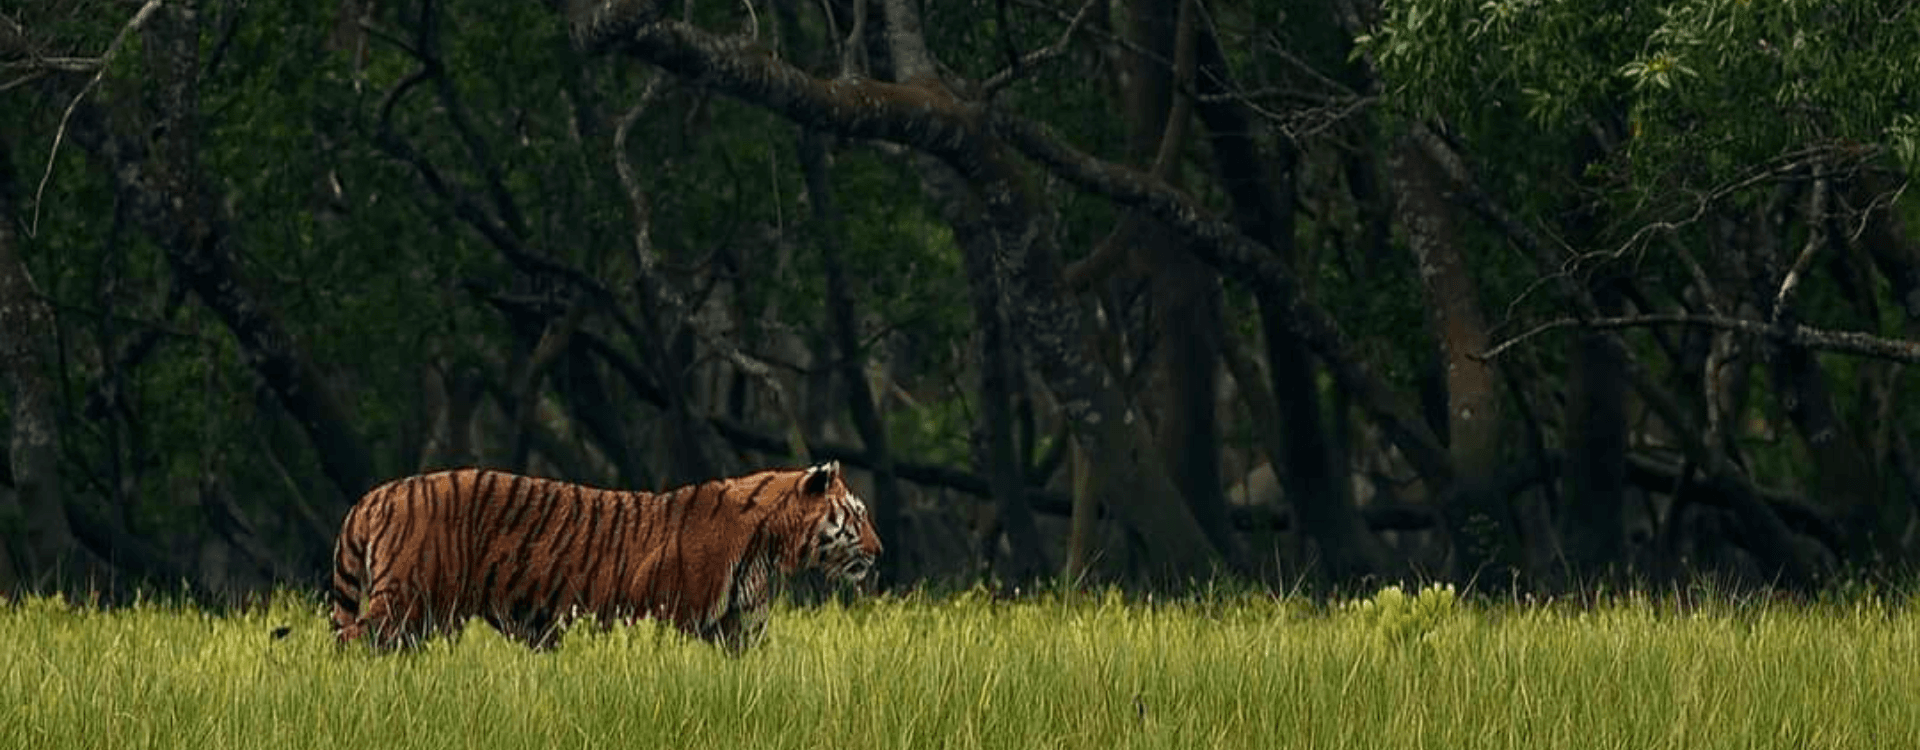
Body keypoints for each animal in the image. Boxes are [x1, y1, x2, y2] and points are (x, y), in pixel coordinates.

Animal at [326, 458, 879, 652]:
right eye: (857, 515)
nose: (879, 551)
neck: (770, 546)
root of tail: (374, 496)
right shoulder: (674, 614)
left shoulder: (742, 624)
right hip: (406, 602)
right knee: (353, 639)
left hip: (426, 617)